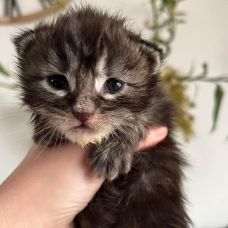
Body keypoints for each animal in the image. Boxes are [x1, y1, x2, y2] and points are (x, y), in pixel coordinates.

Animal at [13, 6, 190, 227]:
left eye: (114, 85)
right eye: (57, 82)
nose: (83, 113)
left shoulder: (162, 106)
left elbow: (142, 116)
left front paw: (114, 149)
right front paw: (45, 132)